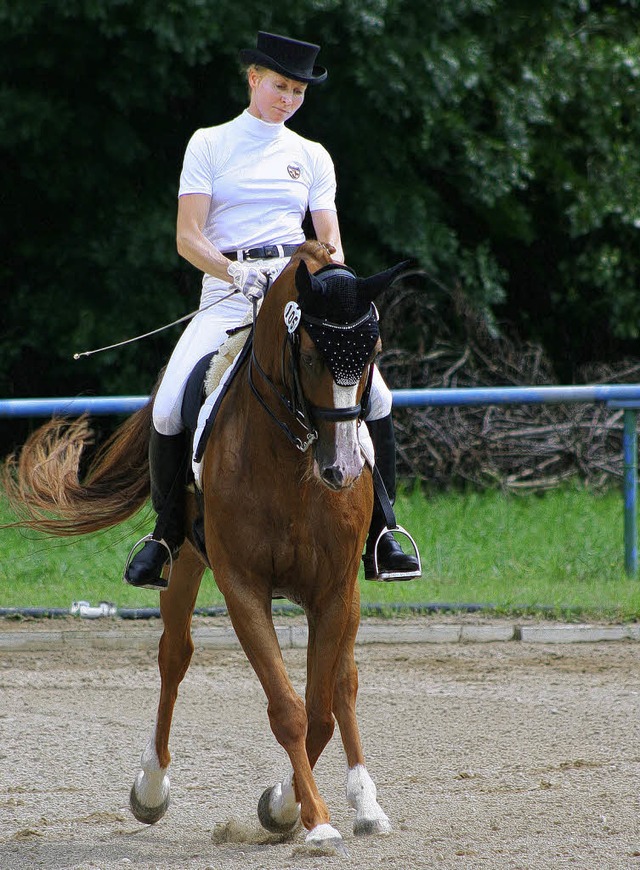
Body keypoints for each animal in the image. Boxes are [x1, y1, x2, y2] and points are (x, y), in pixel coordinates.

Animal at [2, 242, 404, 856]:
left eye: (372, 355)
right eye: (312, 355)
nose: (342, 470)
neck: (293, 460)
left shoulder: (334, 589)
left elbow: (320, 710)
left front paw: (286, 807)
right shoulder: (243, 587)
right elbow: (288, 710)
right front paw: (309, 819)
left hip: (348, 595)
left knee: (343, 685)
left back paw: (367, 804)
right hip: (185, 561)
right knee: (175, 656)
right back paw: (150, 788)